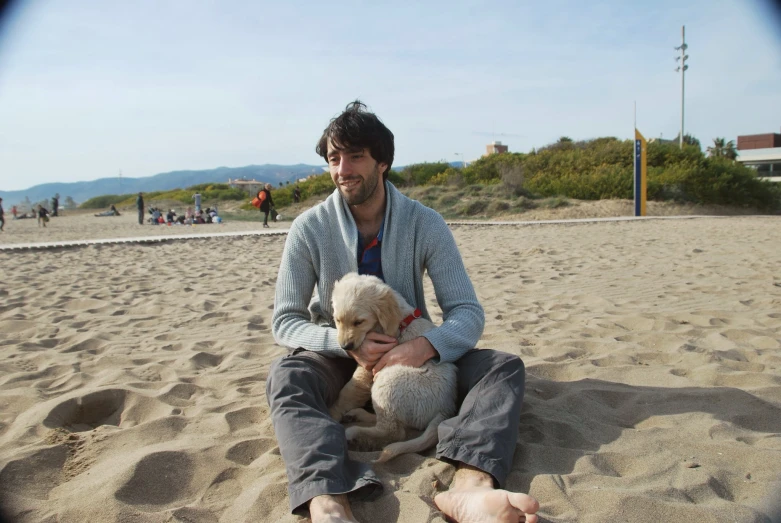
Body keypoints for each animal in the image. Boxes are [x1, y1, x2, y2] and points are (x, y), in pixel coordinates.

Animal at [330, 272, 458, 464]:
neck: (398, 321)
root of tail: (447, 409)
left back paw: (354, 432)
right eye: (338, 320)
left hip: (388, 380)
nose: (346, 347)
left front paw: (332, 413)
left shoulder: (368, 365)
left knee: (394, 432)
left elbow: (348, 391)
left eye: (359, 322)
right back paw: (357, 415)